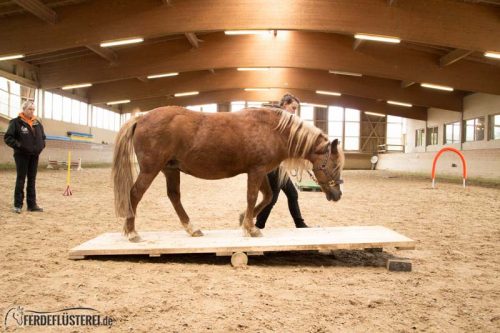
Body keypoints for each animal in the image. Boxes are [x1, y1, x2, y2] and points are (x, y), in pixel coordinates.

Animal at [113, 106, 344, 241]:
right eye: (333, 165)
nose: (337, 195)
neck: (273, 130)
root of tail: (141, 117)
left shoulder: (260, 172)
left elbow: (267, 196)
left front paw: (244, 220)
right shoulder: (256, 170)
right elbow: (253, 197)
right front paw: (250, 228)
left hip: (170, 169)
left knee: (174, 197)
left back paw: (192, 228)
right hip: (150, 170)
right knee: (135, 194)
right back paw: (132, 232)